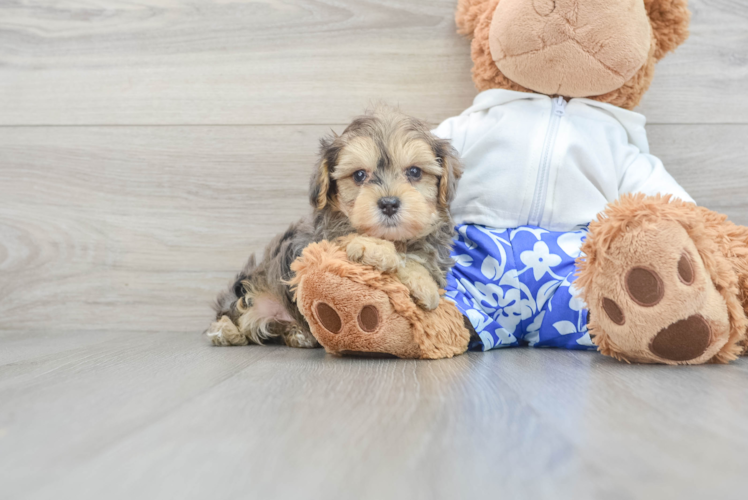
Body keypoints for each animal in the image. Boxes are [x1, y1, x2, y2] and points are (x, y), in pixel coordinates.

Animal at [206, 106, 462, 348]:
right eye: (359, 175)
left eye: (415, 172)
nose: (389, 204)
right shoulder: (316, 242)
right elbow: (346, 238)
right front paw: (379, 250)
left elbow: (420, 261)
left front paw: (423, 283)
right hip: (253, 291)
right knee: (237, 312)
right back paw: (225, 332)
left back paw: (297, 334)